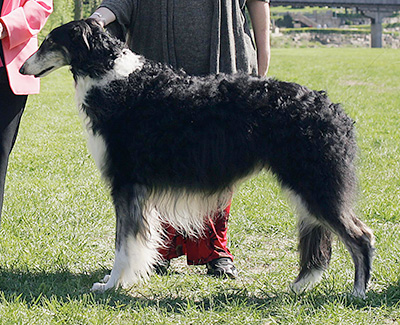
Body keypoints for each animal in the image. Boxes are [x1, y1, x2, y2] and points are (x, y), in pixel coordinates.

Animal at [19, 19, 376, 298]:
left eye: (50, 40)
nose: (22, 68)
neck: (116, 79)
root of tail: (334, 110)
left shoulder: (126, 183)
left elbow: (123, 245)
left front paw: (112, 284)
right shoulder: (140, 191)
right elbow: (139, 242)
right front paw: (125, 278)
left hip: (317, 187)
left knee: (361, 236)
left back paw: (358, 292)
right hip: (306, 189)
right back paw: (303, 286)